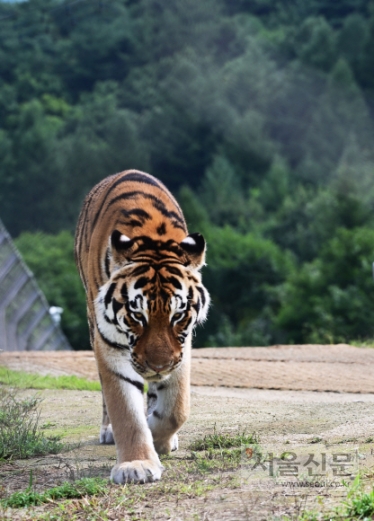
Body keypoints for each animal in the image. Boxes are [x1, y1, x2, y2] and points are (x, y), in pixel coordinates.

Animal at [75, 170, 210, 484]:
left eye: (178, 314)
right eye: (138, 315)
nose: (158, 366)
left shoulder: (182, 346)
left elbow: (176, 407)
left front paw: (160, 439)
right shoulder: (108, 342)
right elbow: (126, 410)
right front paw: (135, 464)